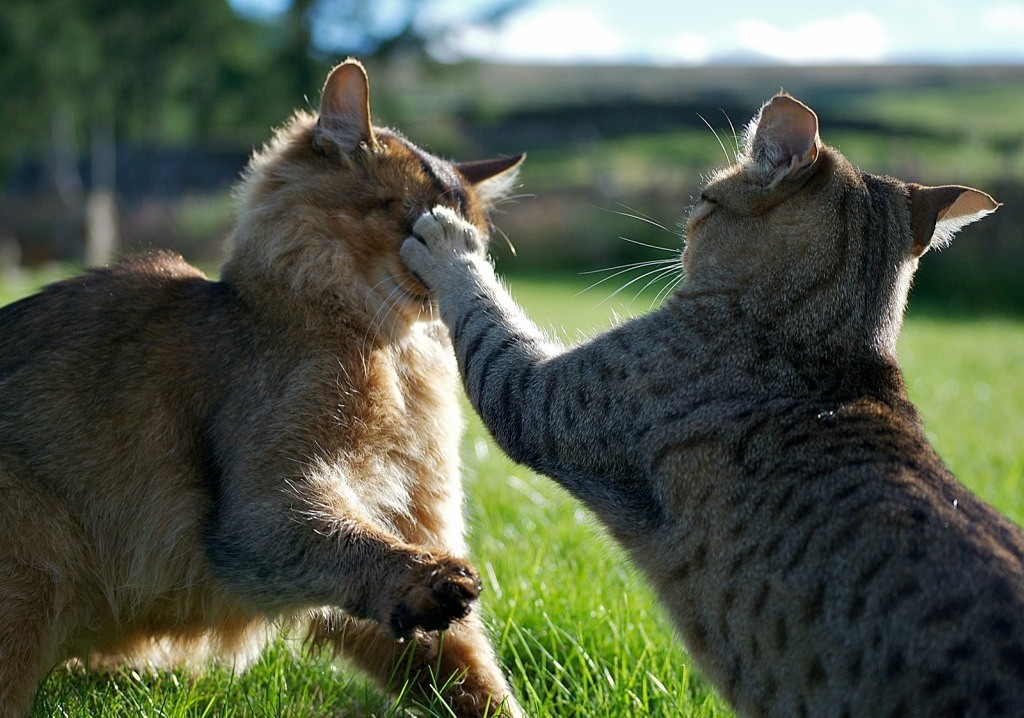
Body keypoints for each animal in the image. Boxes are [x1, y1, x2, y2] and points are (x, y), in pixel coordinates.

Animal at [0, 58, 524, 712]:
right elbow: (353, 543)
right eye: (420, 222)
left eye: (474, 234)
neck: (394, 352)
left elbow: (474, 677)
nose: (466, 268)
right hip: (34, 565)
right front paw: (430, 577)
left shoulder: (415, 514)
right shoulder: (264, 512)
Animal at [401, 95, 1024, 716]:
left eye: (702, 199)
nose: (683, 231)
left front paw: (449, 242)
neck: (822, 340)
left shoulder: (537, 395)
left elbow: (485, 315)